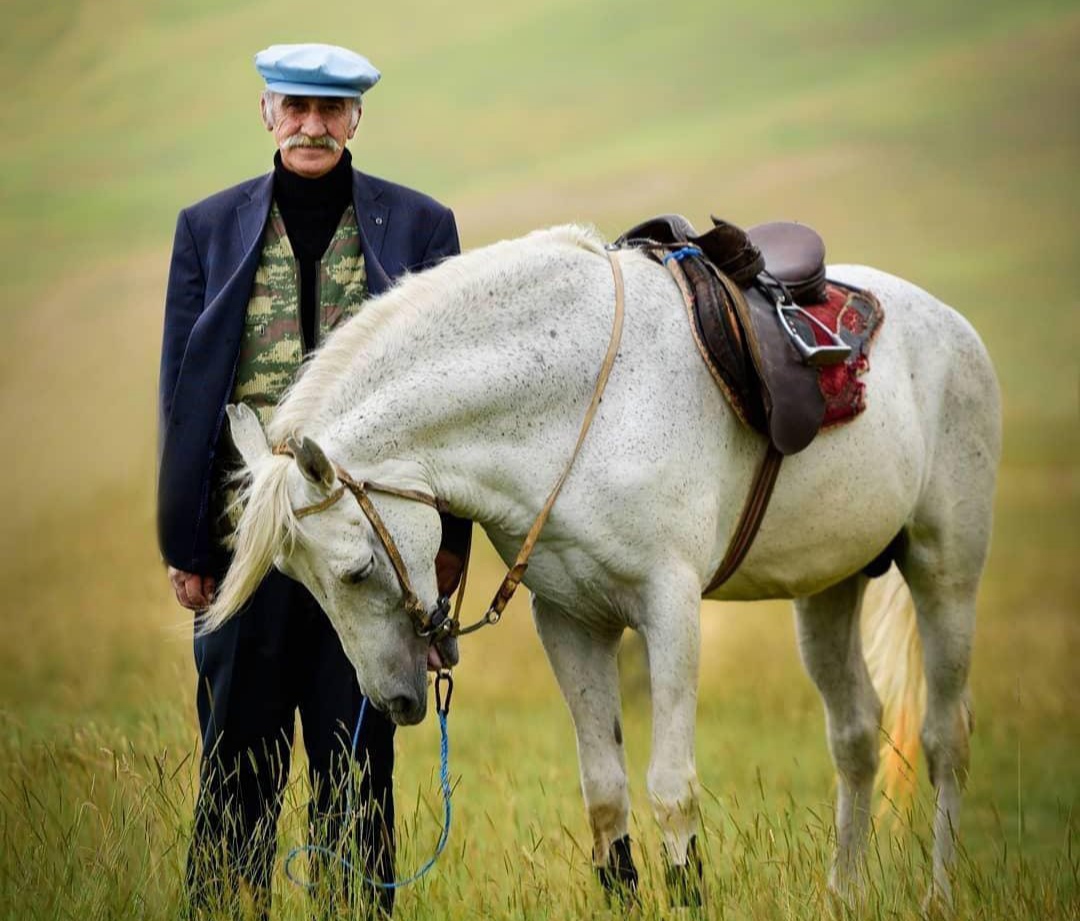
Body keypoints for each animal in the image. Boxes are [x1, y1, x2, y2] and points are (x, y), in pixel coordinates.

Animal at [200, 224, 993, 906]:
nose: (393, 701)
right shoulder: (571, 622)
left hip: (947, 574)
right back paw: (842, 897)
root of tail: (952, 326)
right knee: (855, 737)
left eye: (357, 570)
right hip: (827, 588)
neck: (582, 394)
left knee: (946, 739)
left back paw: (939, 896)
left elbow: (672, 788)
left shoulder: (671, 610)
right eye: (301, 584)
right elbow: (606, 795)